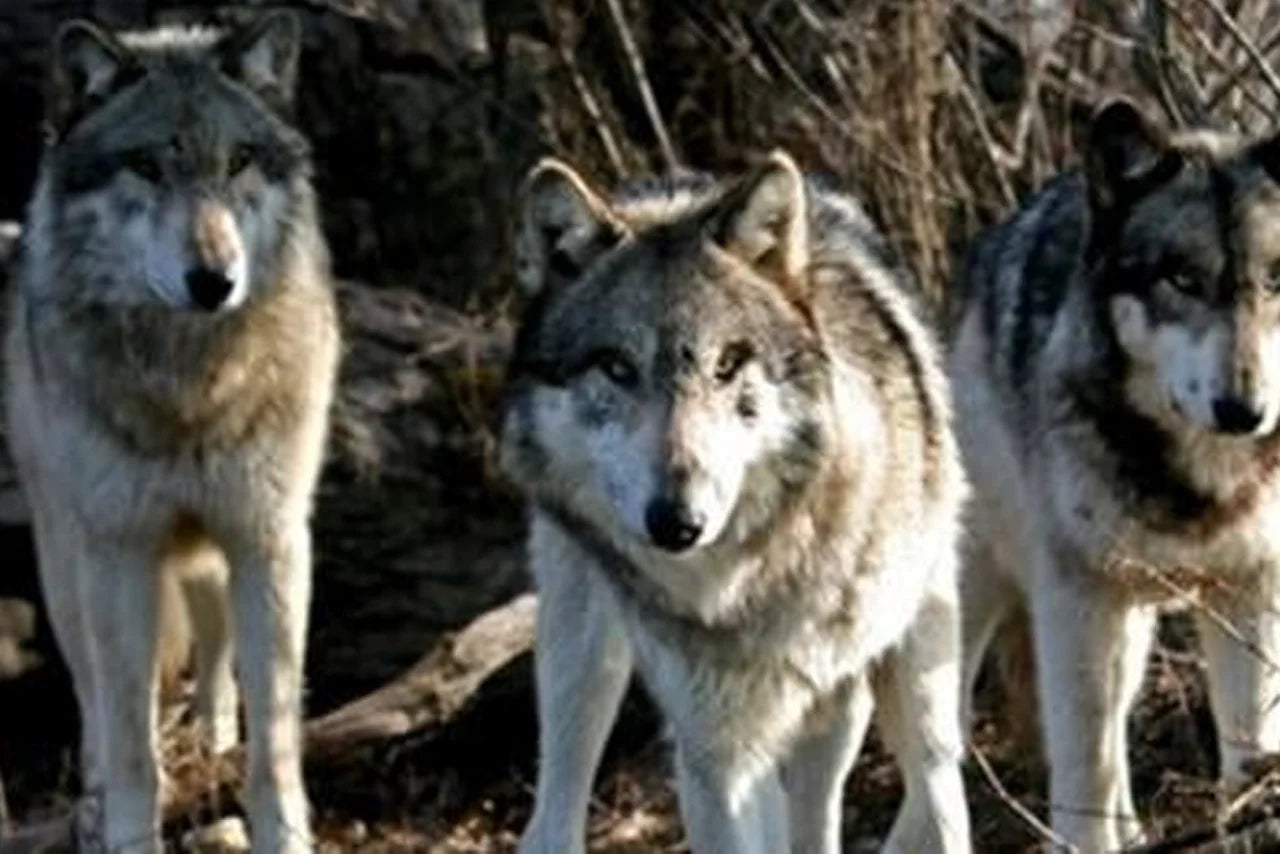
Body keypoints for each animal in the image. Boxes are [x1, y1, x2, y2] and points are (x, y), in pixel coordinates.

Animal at [6, 12, 338, 852]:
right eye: (148, 167)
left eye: (239, 160)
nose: (214, 281)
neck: (192, 385)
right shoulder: (120, 551)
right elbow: (130, 735)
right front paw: (126, 828)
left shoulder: (267, 537)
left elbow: (276, 734)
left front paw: (281, 829)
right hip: (66, 560)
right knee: (92, 690)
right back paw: (94, 796)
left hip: (211, 555)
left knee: (217, 657)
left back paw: (213, 744)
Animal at [502, 151, 972, 854]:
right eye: (616, 368)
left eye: (728, 365)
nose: (677, 522)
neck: (765, 576)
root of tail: (673, 183)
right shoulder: (714, 749)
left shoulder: (908, 654)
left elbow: (940, 805)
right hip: (583, 655)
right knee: (554, 813)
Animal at [952, 98, 1280, 850]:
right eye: (1181, 279)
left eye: (1277, 280)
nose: (1244, 411)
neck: (1199, 482)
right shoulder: (1078, 601)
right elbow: (1085, 773)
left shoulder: (1249, 588)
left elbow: (1250, 750)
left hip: (1131, 629)